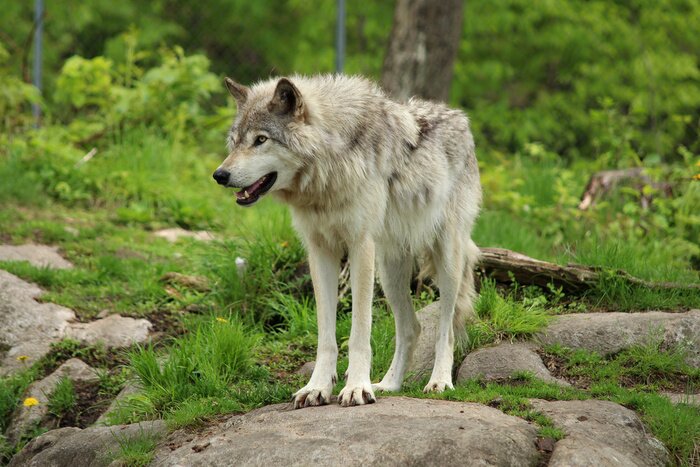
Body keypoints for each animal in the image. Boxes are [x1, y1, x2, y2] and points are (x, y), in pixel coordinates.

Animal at [213, 74, 481, 408]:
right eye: (236, 141)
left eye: (261, 140)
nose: (219, 175)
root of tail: (460, 118)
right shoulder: (319, 251)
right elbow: (325, 336)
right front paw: (316, 388)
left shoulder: (360, 245)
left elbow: (359, 333)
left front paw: (356, 388)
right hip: (390, 273)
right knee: (412, 328)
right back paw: (389, 384)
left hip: (446, 261)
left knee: (447, 327)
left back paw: (439, 382)